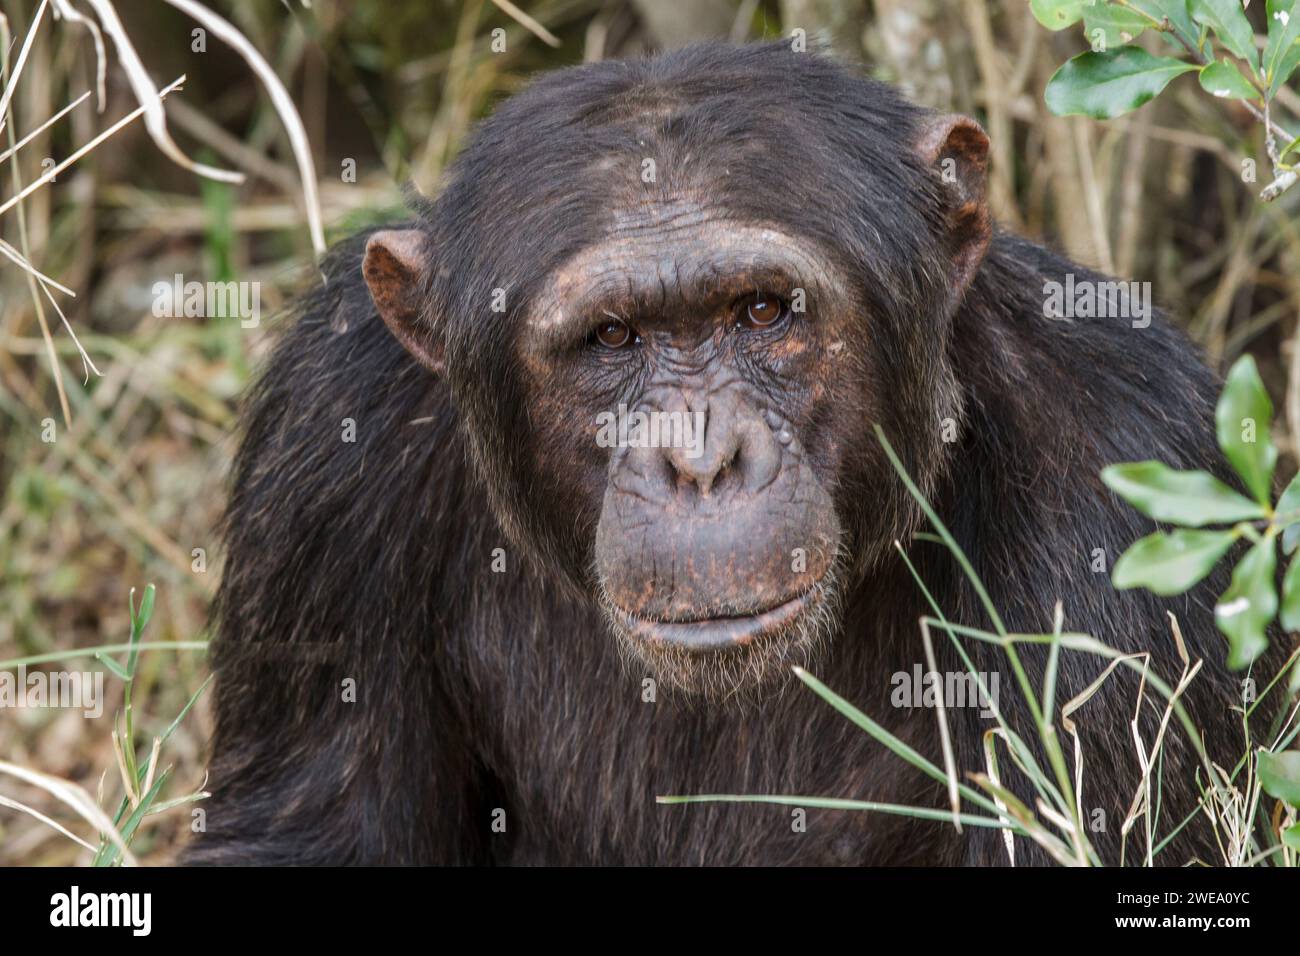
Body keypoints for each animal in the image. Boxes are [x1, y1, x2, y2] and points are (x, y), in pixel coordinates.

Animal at [183, 42, 1279, 868]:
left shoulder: (1124, 474)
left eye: (762, 311)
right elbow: (309, 832)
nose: (700, 462)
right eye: (612, 337)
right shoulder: (332, 436)